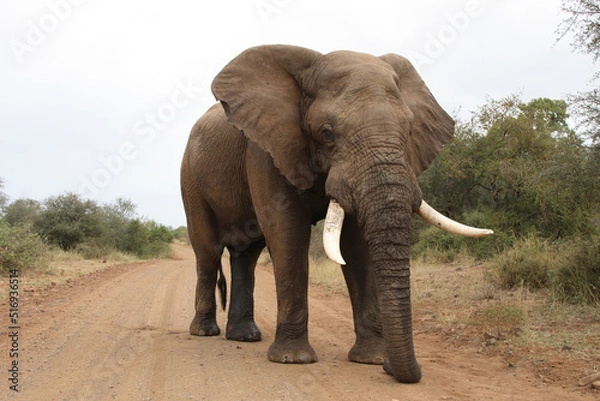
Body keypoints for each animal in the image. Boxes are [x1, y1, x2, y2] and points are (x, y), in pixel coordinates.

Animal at [180, 43, 490, 382]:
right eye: (327, 133)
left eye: (409, 131)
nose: (393, 368)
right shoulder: (266, 149)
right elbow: (287, 232)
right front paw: (293, 359)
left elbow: (355, 246)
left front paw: (370, 358)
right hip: (190, 179)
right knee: (208, 252)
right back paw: (205, 332)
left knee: (246, 256)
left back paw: (245, 336)